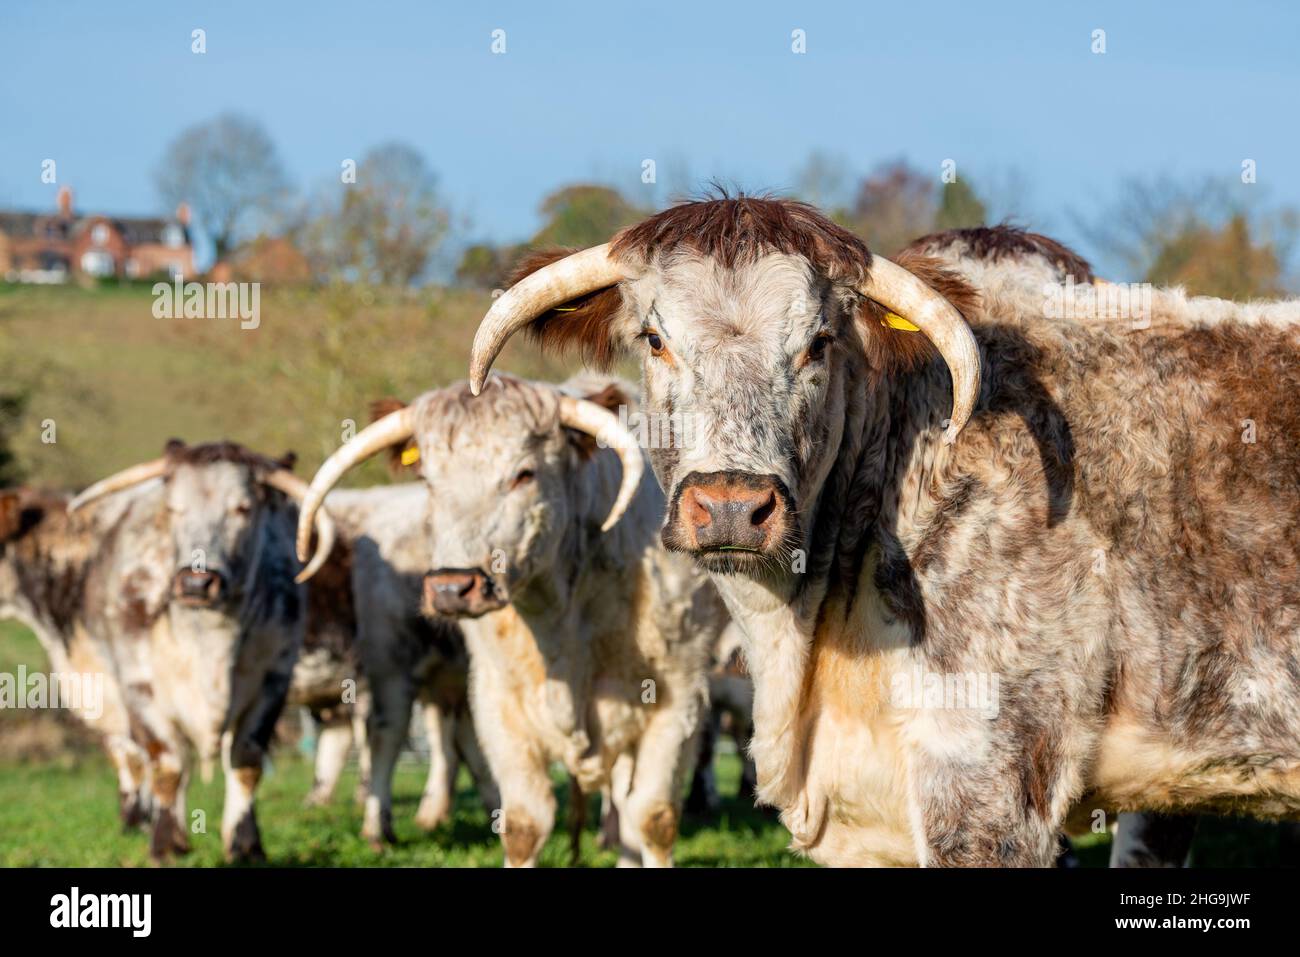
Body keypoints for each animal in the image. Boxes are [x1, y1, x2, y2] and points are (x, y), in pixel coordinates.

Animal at [292, 374, 733, 868]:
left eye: (524, 474)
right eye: (428, 479)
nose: (451, 588)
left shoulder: (679, 696)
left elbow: (653, 818)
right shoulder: (496, 699)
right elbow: (524, 823)